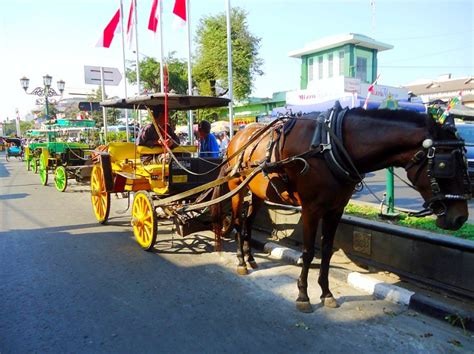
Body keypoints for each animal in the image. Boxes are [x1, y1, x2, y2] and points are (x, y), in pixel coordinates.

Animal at [214, 104, 470, 312]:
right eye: (445, 164)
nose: (460, 218)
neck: (331, 145)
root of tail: (238, 137)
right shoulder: (311, 209)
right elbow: (308, 252)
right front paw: (303, 295)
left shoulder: (335, 209)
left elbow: (326, 251)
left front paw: (326, 293)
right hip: (236, 188)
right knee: (236, 221)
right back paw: (241, 262)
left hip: (258, 193)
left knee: (247, 222)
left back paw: (250, 258)